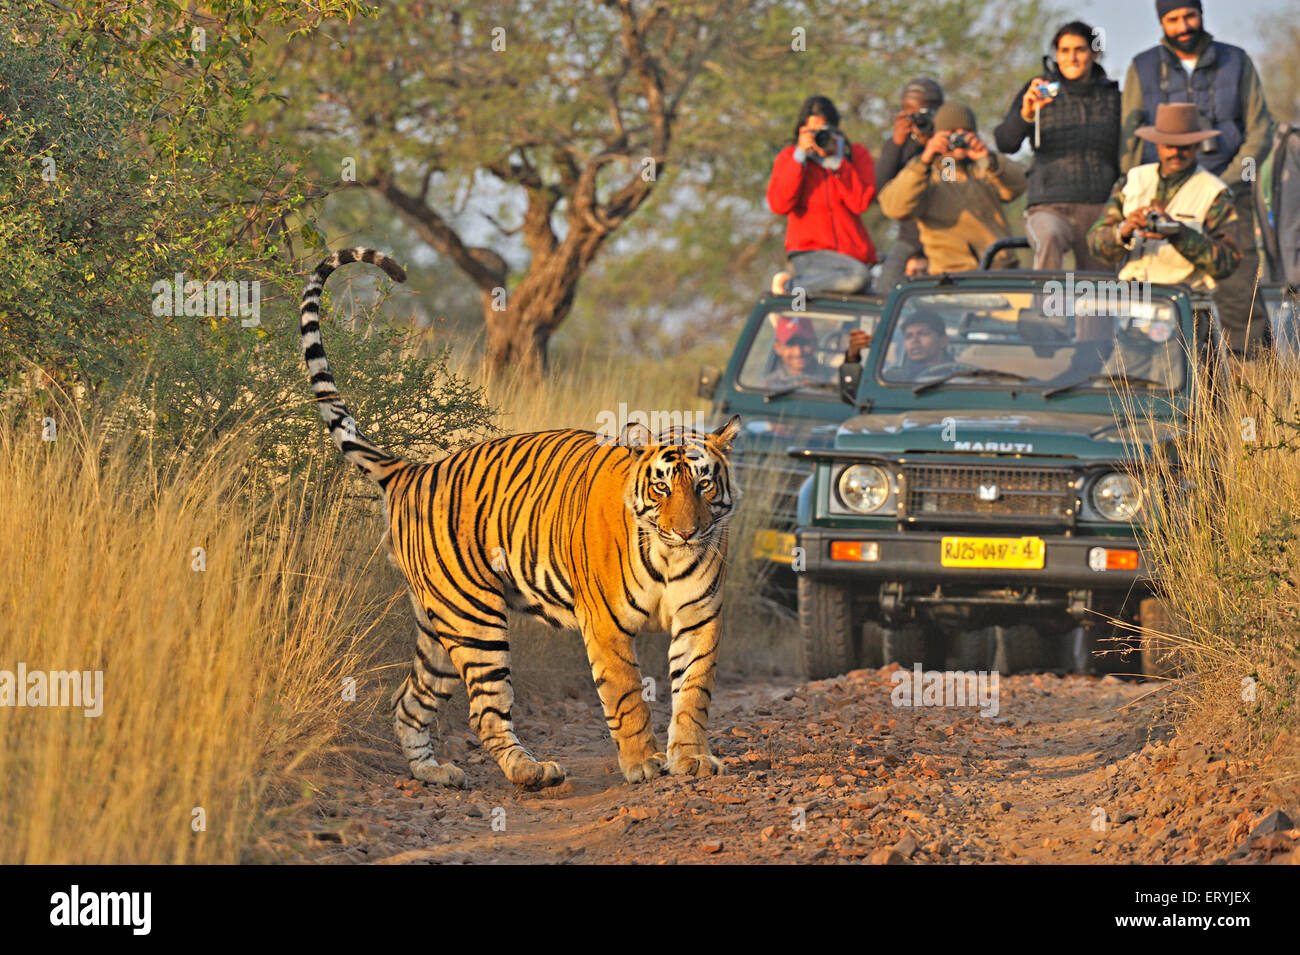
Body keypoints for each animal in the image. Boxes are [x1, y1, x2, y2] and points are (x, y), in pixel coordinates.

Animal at [297, 248, 743, 789]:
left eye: (703, 484)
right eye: (662, 486)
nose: (687, 531)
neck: (668, 555)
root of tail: (413, 469)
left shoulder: (700, 618)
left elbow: (694, 693)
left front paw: (692, 757)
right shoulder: (606, 626)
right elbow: (627, 696)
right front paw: (642, 763)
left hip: (438, 626)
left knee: (408, 701)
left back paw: (435, 773)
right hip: (473, 618)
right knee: (485, 711)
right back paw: (531, 771)